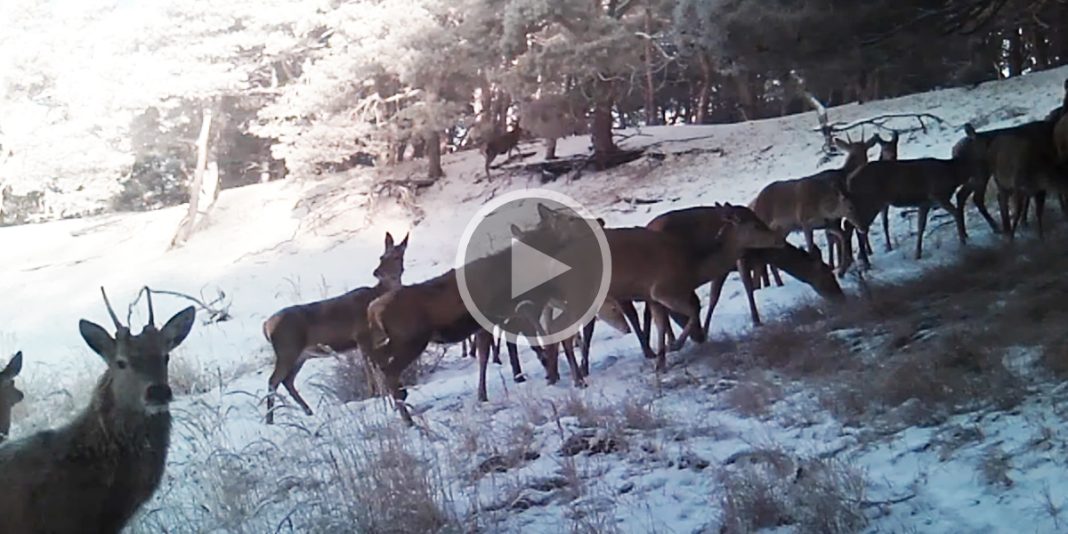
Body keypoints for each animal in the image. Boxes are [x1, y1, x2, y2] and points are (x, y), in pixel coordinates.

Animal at [262, 231, 407, 422]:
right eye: (382, 256)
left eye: (397, 256)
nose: (378, 272)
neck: (376, 296)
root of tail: (266, 326)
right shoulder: (362, 336)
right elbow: (371, 370)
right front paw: (377, 395)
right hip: (287, 350)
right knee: (273, 381)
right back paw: (270, 420)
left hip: (301, 354)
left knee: (287, 381)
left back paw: (308, 412)